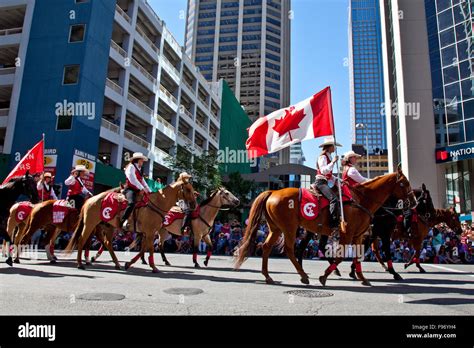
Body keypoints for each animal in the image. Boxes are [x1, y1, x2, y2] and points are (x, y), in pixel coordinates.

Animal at [65, 173, 196, 274]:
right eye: (188, 189)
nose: (194, 205)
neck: (157, 203)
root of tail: (89, 200)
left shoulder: (147, 233)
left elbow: (144, 249)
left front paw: (129, 263)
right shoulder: (149, 232)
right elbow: (150, 249)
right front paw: (153, 267)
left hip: (108, 227)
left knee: (107, 243)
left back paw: (116, 264)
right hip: (90, 224)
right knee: (82, 240)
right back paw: (80, 263)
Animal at [235, 167, 416, 286]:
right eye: (404, 183)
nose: (414, 202)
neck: (361, 200)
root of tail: (273, 192)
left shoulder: (358, 235)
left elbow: (357, 256)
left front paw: (362, 277)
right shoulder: (349, 233)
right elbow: (341, 256)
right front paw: (325, 276)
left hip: (276, 228)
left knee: (266, 247)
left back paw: (268, 277)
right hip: (289, 228)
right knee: (290, 249)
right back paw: (303, 275)